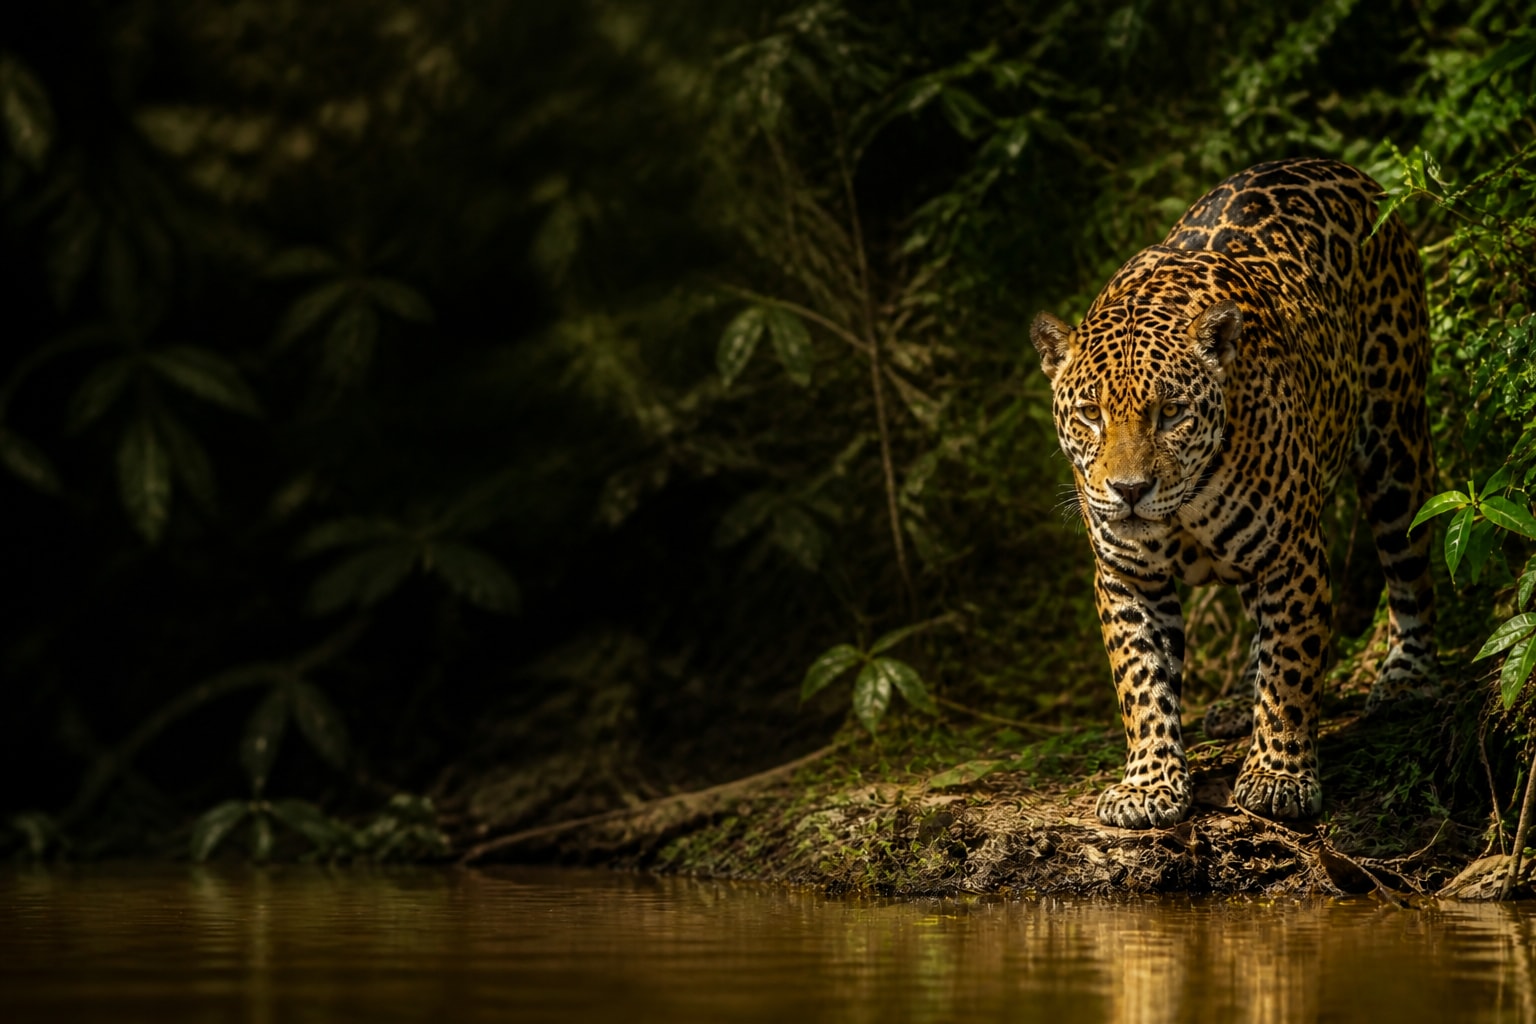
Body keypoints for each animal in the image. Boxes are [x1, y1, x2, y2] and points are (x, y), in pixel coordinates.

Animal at [1030, 158, 1437, 830]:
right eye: (1090, 414)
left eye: (1170, 413)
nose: (1129, 490)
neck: (1183, 508)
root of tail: (1346, 170)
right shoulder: (1127, 577)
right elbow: (1142, 682)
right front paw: (1148, 785)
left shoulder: (1292, 554)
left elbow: (1292, 669)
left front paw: (1277, 777)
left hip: (1395, 440)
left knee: (1409, 562)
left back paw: (1408, 677)